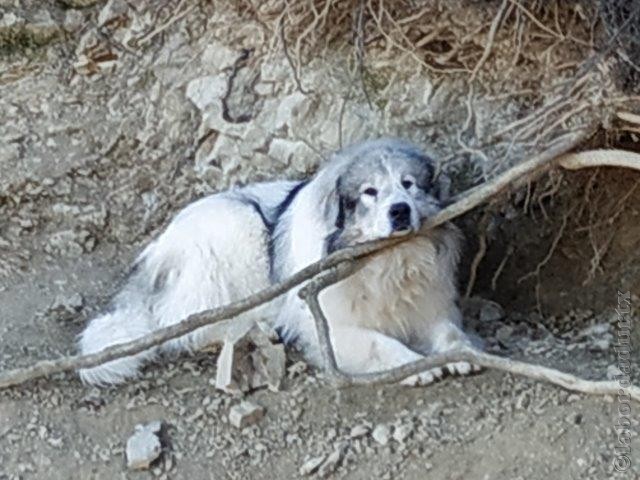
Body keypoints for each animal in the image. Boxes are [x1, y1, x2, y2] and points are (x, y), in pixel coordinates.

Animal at [77, 139, 478, 386]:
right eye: (370, 192)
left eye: (409, 184)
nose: (400, 211)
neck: (384, 261)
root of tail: (157, 249)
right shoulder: (329, 326)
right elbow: (379, 342)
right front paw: (414, 366)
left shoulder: (431, 306)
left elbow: (449, 332)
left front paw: (461, 351)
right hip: (239, 226)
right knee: (190, 325)